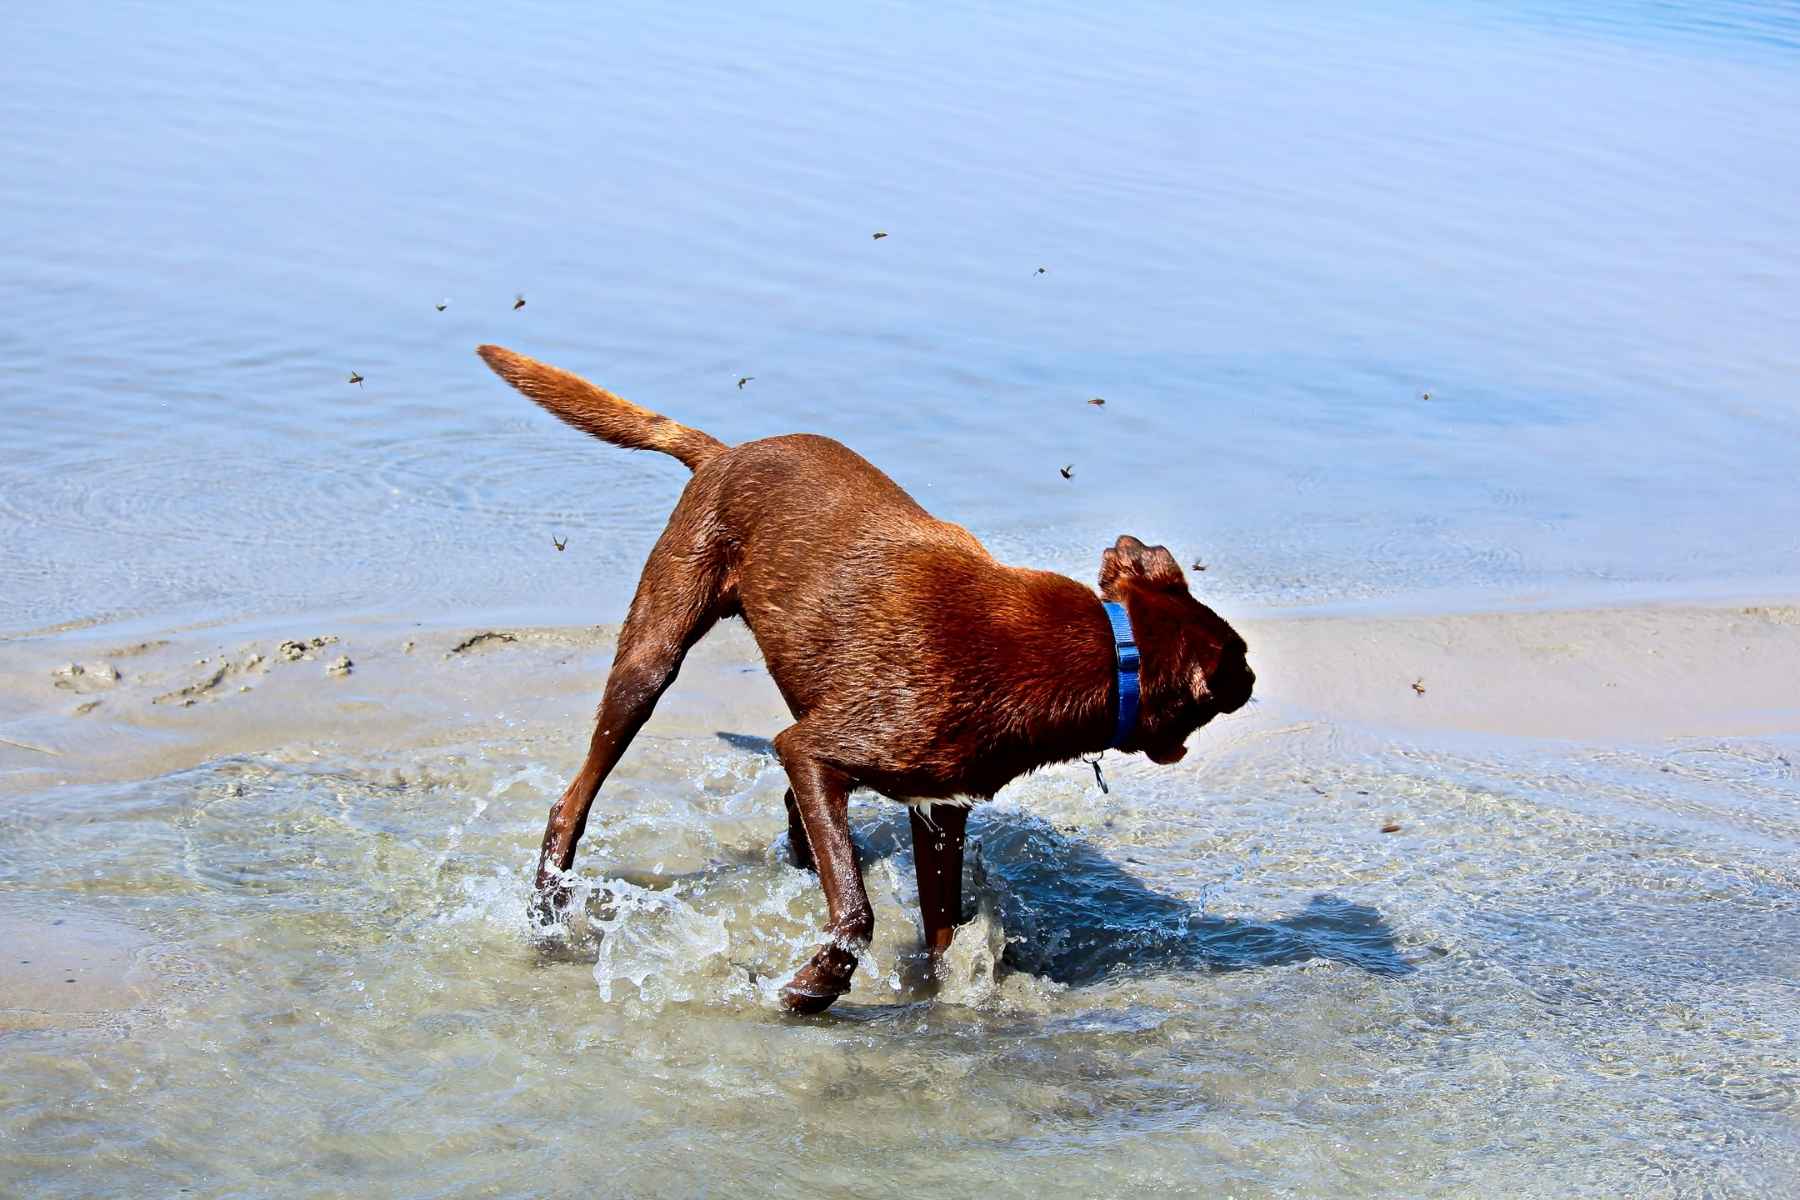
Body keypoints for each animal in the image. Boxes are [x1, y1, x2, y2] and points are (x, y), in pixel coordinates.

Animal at [478, 347, 1252, 1014]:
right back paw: (548, 905)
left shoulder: (938, 808)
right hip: (653, 656)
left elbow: (939, 929)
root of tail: (723, 452)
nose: (1252, 676)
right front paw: (814, 986)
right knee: (573, 800)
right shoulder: (820, 752)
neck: (1101, 653)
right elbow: (856, 910)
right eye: (1237, 657)